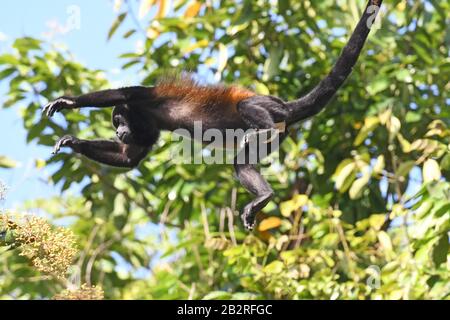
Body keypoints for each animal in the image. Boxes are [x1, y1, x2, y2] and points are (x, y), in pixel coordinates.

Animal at [44, 0, 384, 230]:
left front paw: (67, 101)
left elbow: (124, 93)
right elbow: (130, 157)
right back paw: (264, 195)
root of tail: (286, 108)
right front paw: (72, 142)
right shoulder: (147, 129)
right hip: (279, 136)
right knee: (243, 163)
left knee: (247, 115)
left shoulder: (147, 98)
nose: (117, 131)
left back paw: (258, 139)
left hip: (268, 108)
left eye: (118, 121)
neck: (143, 117)